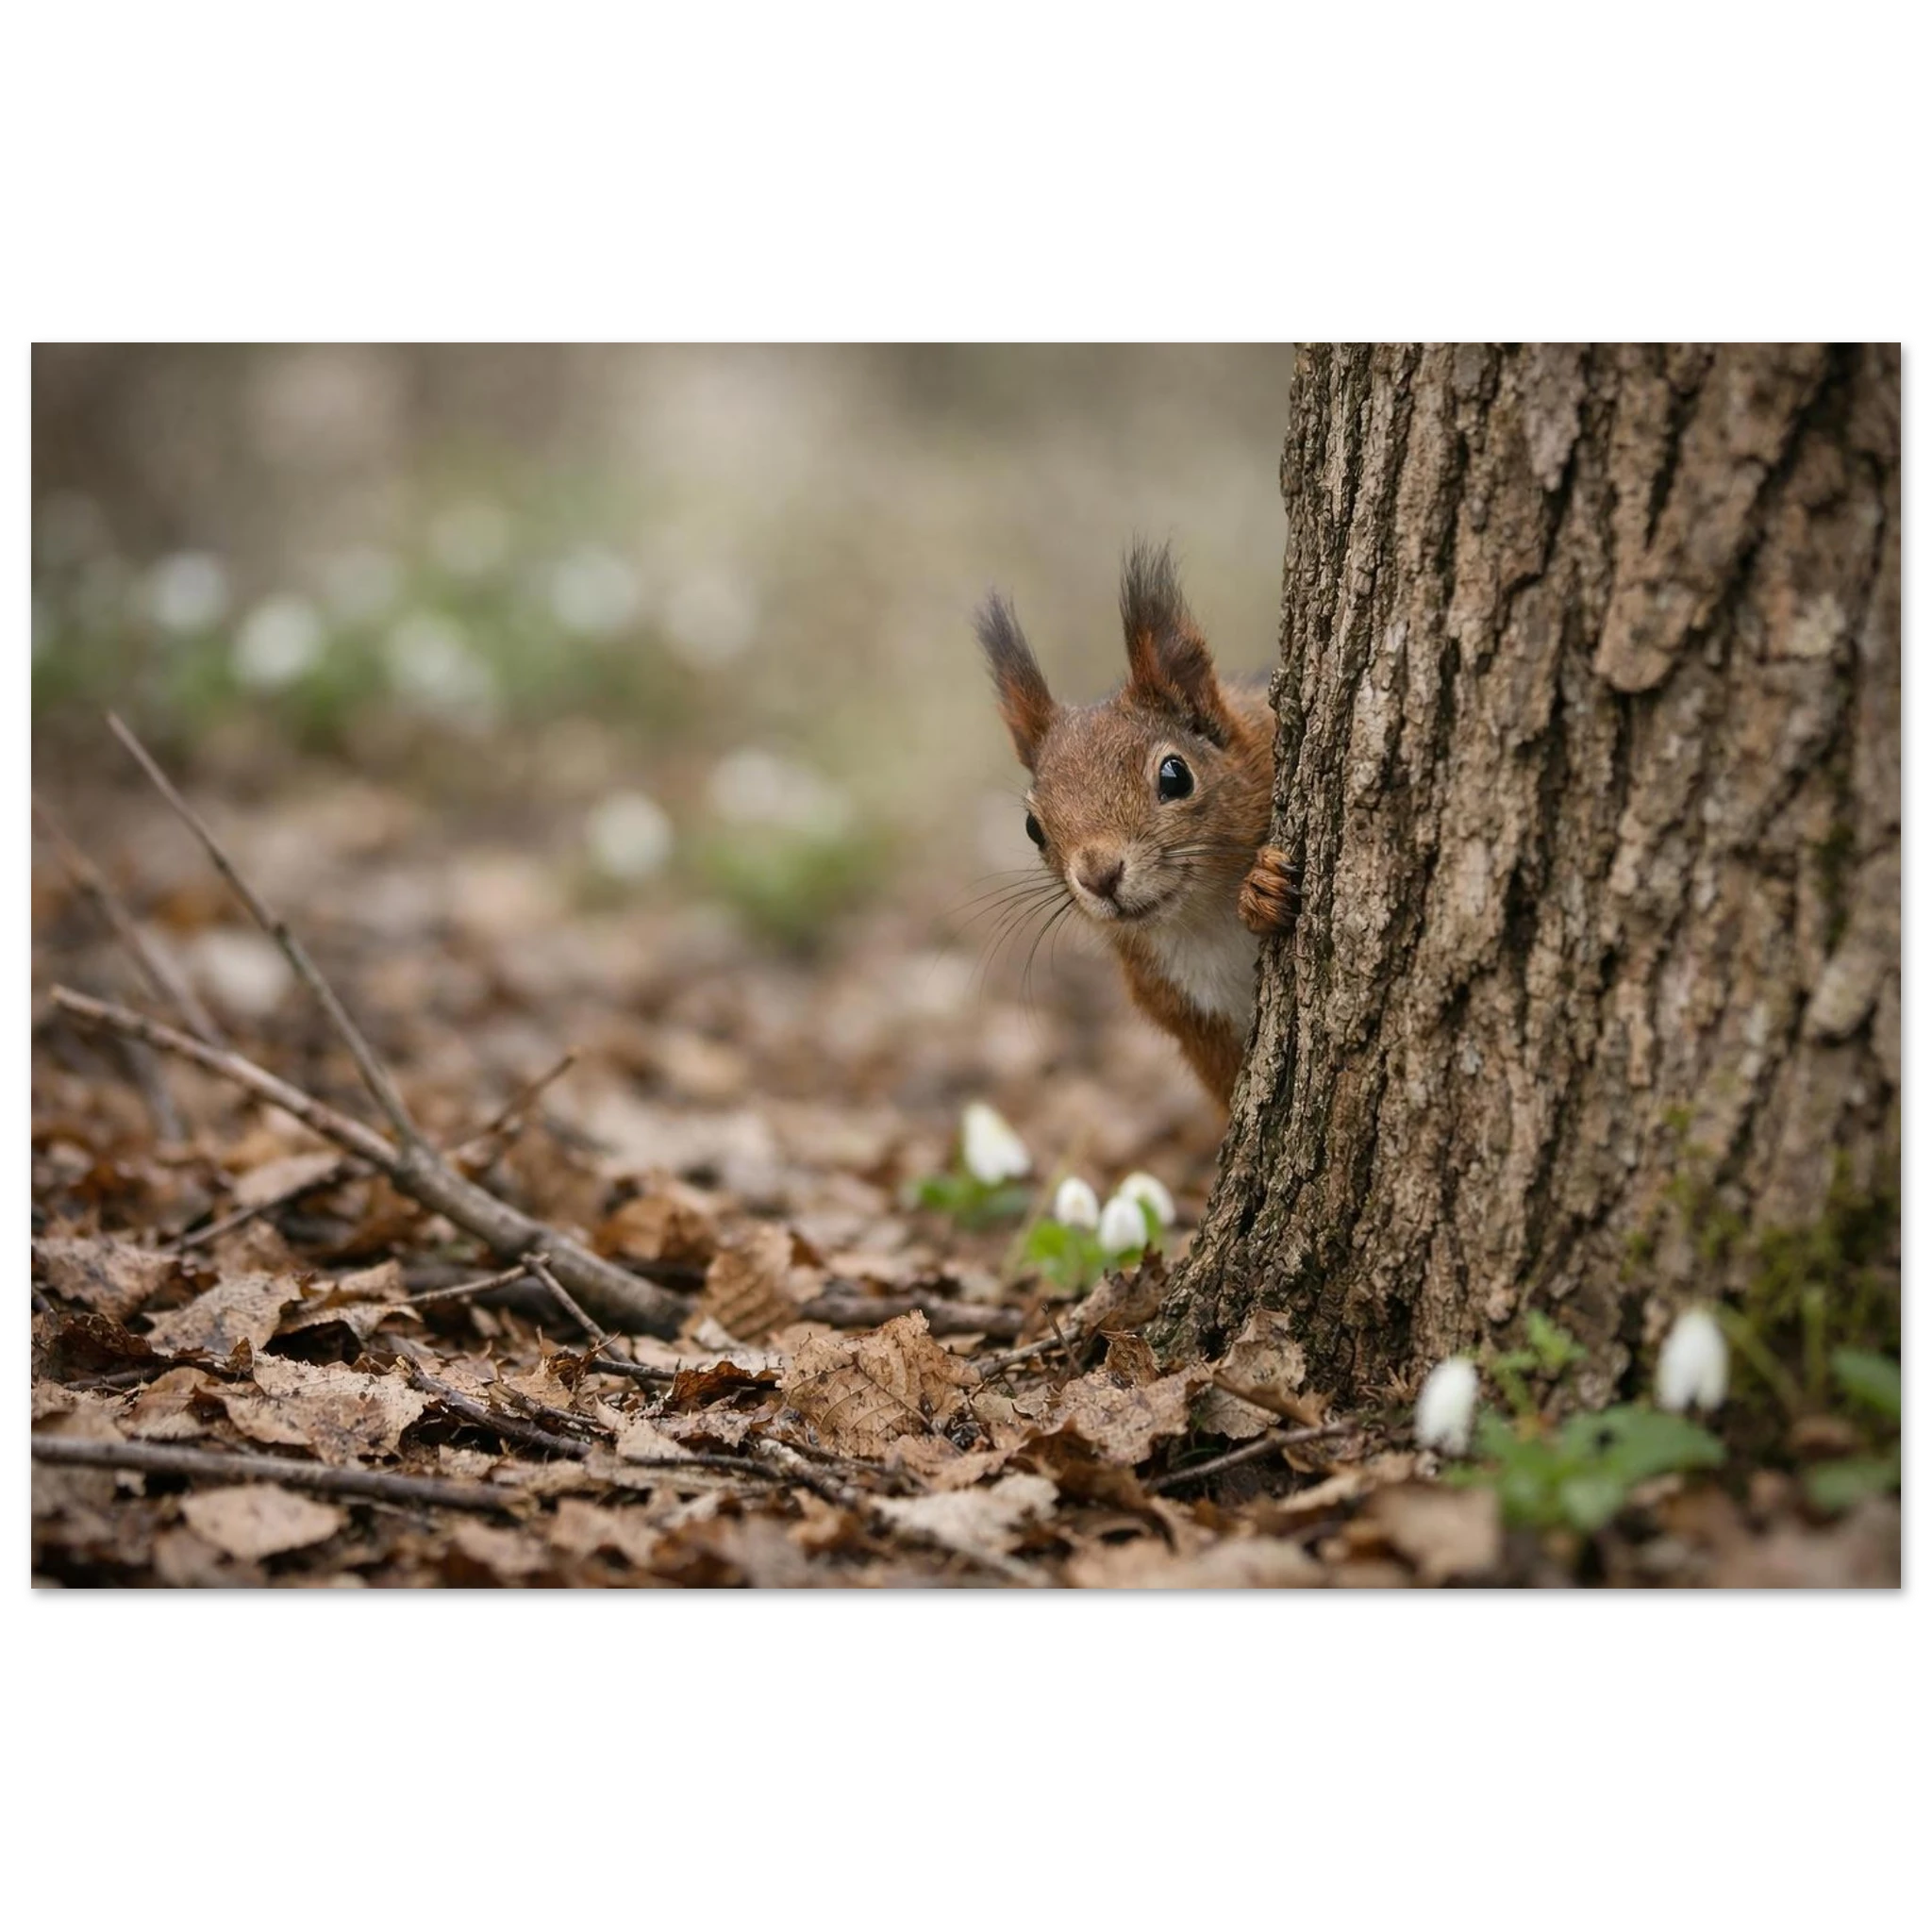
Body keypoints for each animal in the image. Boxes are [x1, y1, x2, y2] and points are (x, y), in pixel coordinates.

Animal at [975, 540, 1299, 1107]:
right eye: (1033, 828)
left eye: (1176, 774)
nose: (1099, 875)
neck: (1206, 921)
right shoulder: (1189, 1018)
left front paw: (1263, 885)